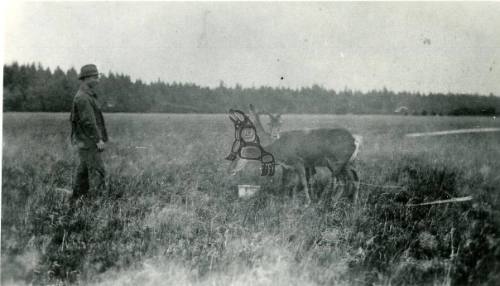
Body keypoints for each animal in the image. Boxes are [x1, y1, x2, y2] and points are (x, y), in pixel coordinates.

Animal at [228, 105, 364, 206]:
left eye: (239, 154)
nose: (231, 170)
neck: (279, 151)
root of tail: (355, 140)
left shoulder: (298, 161)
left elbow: (303, 181)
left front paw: (307, 202)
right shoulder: (290, 166)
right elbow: (291, 183)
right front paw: (290, 199)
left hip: (337, 162)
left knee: (342, 181)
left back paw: (328, 201)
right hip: (349, 162)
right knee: (355, 178)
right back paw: (353, 202)